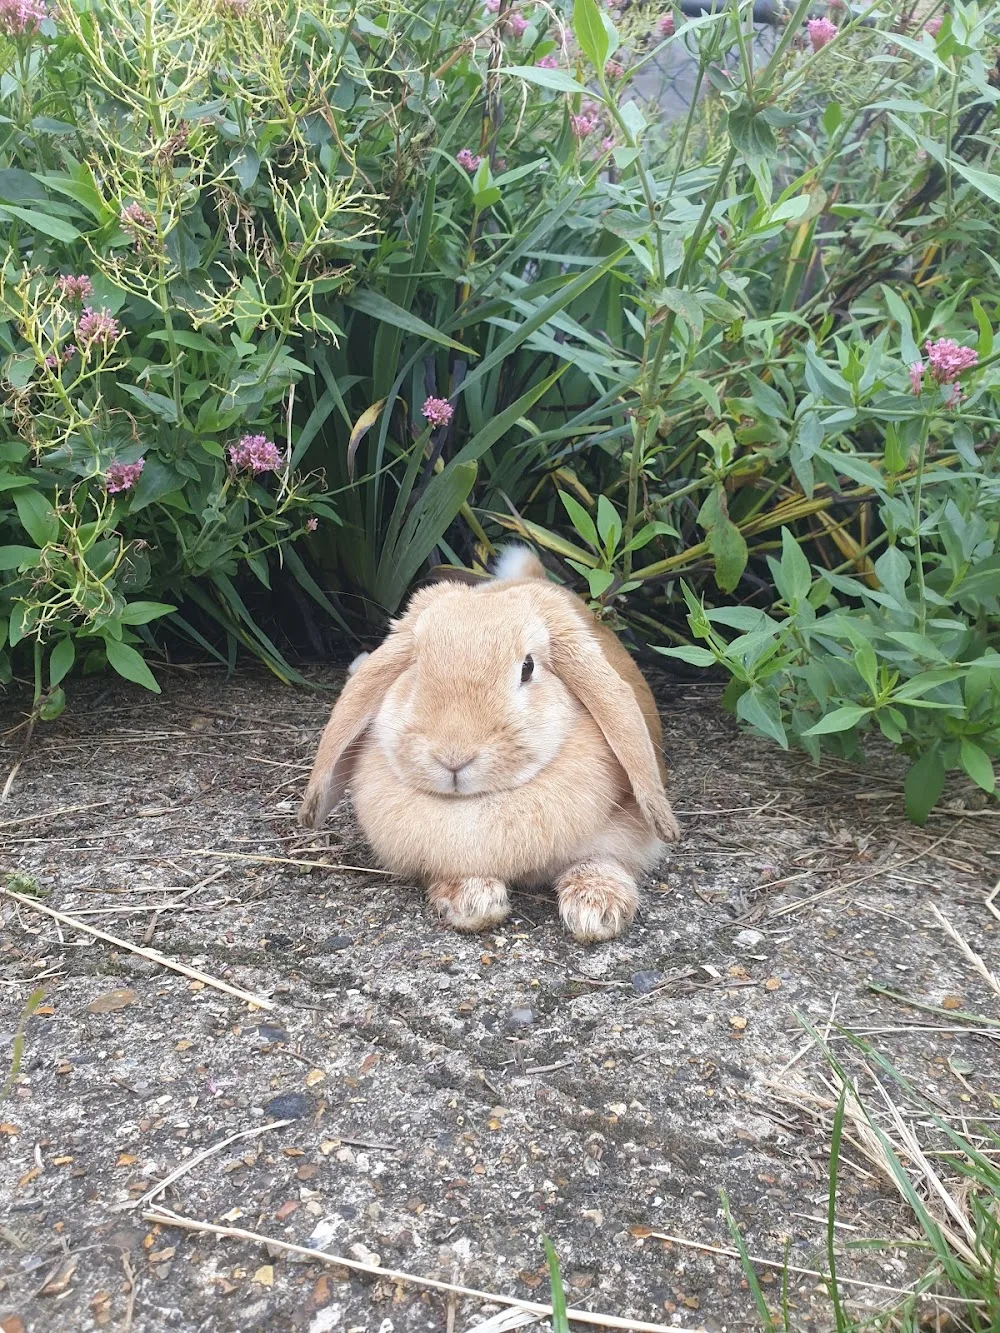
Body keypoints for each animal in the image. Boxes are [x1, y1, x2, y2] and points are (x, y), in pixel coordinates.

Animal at [299, 547, 680, 942]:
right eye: (416, 667)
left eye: (528, 668)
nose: (453, 756)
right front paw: (471, 902)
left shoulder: (625, 835)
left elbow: (602, 860)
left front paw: (597, 912)